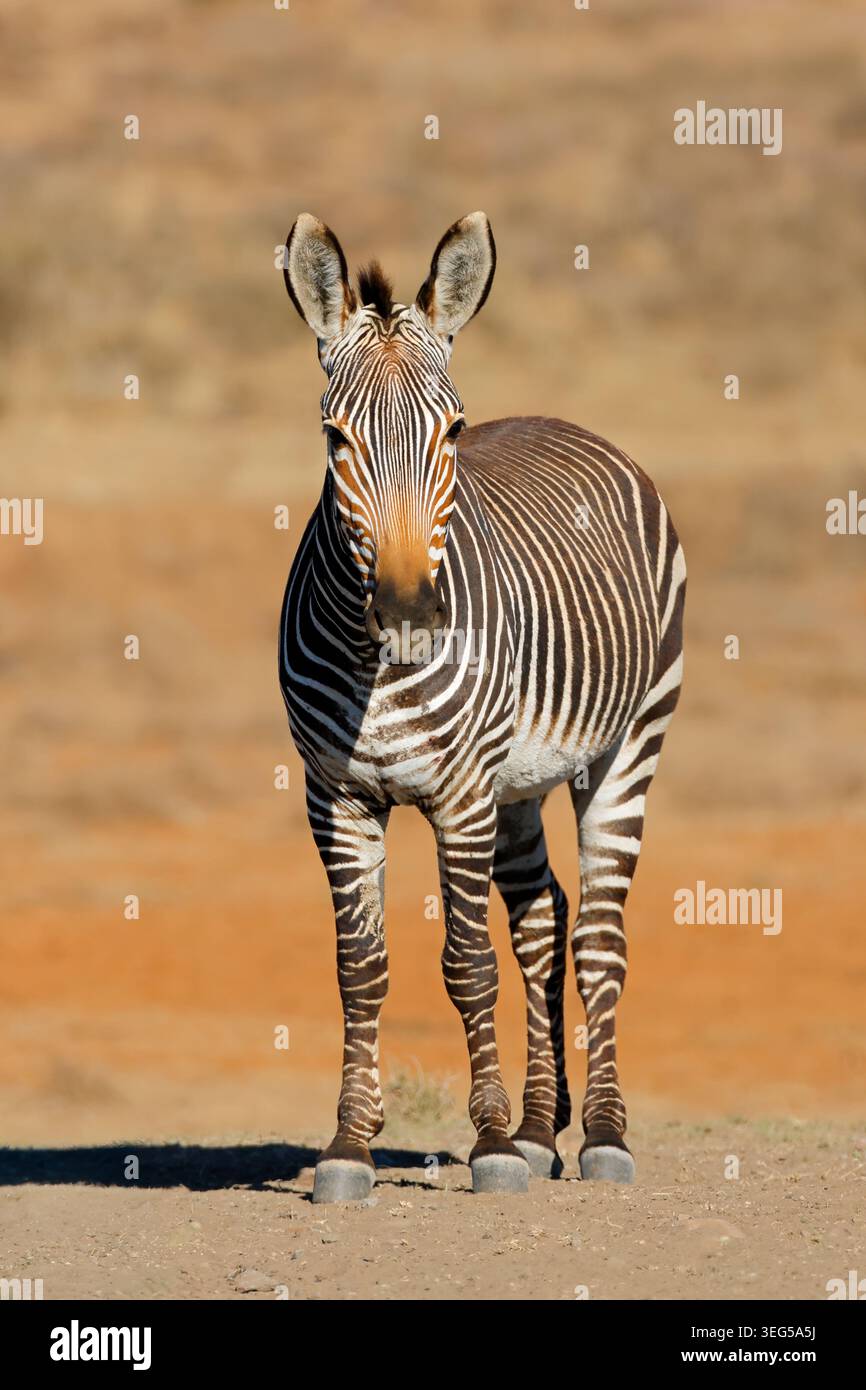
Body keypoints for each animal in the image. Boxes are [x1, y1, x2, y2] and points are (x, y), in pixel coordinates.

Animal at [279, 212, 686, 1202]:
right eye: (335, 439)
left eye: (452, 432)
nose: (408, 610)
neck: (377, 666)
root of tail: (565, 422)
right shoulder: (336, 798)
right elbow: (360, 969)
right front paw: (349, 1147)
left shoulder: (460, 795)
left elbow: (466, 965)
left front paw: (491, 1145)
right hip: (519, 785)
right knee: (542, 922)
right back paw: (546, 1129)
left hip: (627, 746)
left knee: (600, 941)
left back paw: (602, 1136)